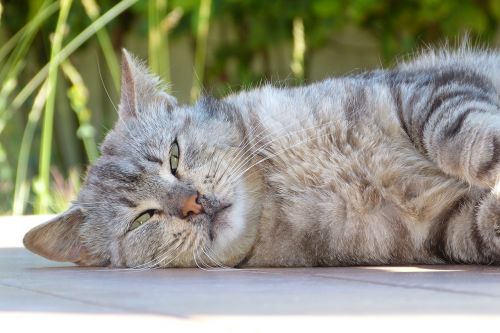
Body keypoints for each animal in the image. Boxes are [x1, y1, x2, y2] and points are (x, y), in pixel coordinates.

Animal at [23, 45, 500, 268]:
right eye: (142, 219)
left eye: (173, 156)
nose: (194, 203)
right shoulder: (444, 230)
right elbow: (484, 224)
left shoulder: (425, 93)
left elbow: (468, 141)